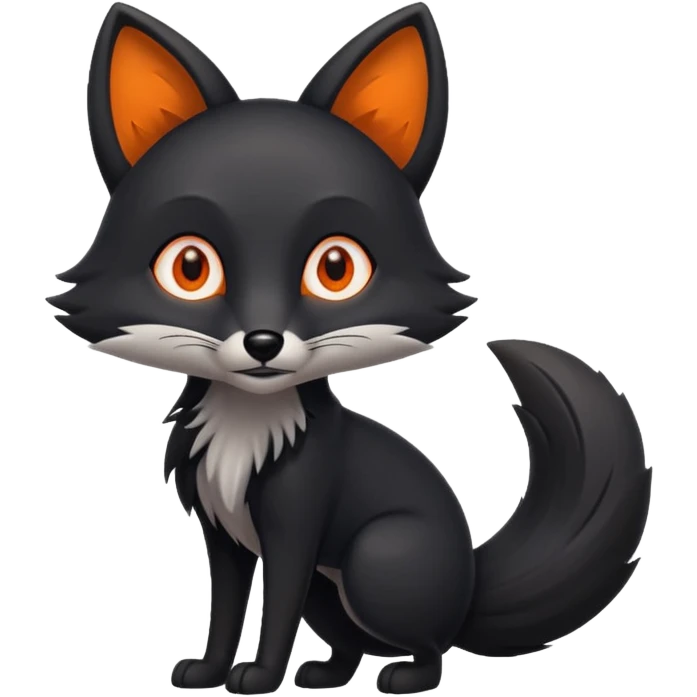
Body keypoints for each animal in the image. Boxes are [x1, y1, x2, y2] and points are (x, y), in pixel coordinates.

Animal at [51, 2, 653, 694]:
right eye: (190, 268)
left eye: (336, 269)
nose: (263, 340)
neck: (246, 423)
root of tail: (470, 587)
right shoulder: (222, 535)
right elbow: (226, 607)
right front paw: (208, 671)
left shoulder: (295, 526)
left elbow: (275, 607)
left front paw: (259, 678)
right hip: (330, 588)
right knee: (348, 642)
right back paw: (325, 673)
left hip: (376, 558)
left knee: (431, 643)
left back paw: (405, 676)